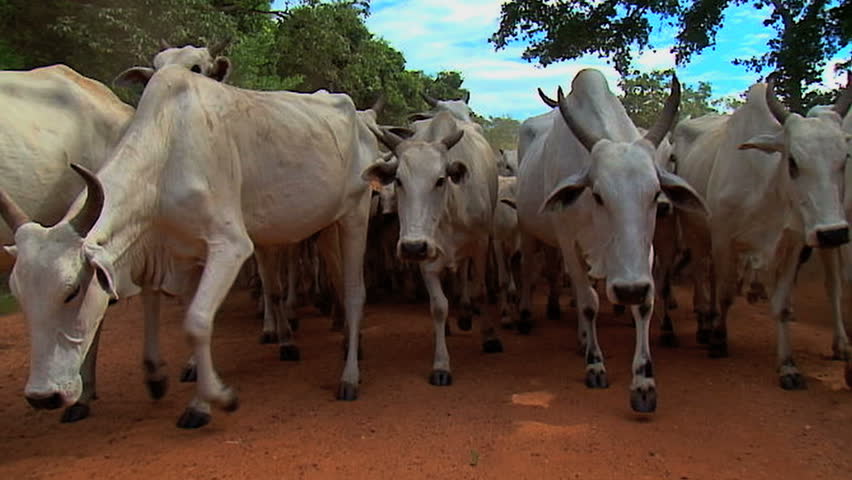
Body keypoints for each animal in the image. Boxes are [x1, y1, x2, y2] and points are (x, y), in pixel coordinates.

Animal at [0, 64, 375, 429]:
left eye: (72, 291)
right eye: (19, 296)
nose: (43, 397)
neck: (166, 151)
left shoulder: (230, 246)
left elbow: (196, 321)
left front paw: (213, 400)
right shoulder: (177, 253)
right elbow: (182, 314)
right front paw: (175, 384)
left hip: (355, 215)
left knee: (354, 293)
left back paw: (349, 376)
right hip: (325, 227)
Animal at [362, 104, 503, 386]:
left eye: (440, 179)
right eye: (398, 180)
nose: (412, 248)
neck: (448, 208)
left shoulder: (480, 244)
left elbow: (480, 291)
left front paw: (490, 336)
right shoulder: (426, 255)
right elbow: (438, 306)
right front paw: (441, 365)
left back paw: (466, 314)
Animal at [518, 69, 707, 413]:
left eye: (655, 193)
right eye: (597, 194)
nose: (628, 290)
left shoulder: (643, 252)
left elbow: (644, 304)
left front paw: (644, 383)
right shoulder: (569, 242)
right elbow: (589, 303)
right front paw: (595, 365)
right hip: (528, 230)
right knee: (530, 271)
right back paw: (528, 318)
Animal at [671, 79, 851, 389]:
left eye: (844, 159)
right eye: (792, 162)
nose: (833, 234)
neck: (767, 189)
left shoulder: (791, 245)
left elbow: (782, 305)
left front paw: (788, 366)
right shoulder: (723, 238)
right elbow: (727, 293)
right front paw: (718, 340)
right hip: (695, 231)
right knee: (701, 273)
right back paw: (705, 323)